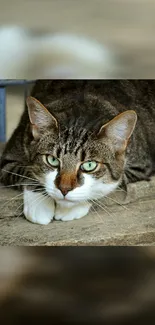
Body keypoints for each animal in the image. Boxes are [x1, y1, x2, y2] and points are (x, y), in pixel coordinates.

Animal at [0, 79, 155, 224]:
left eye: (89, 165)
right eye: (52, 160)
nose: (64, 189)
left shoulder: (141, 165)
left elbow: (112, 182)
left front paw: (70, 209)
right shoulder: (12, 154)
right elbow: (26, 172)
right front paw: (40, 206)